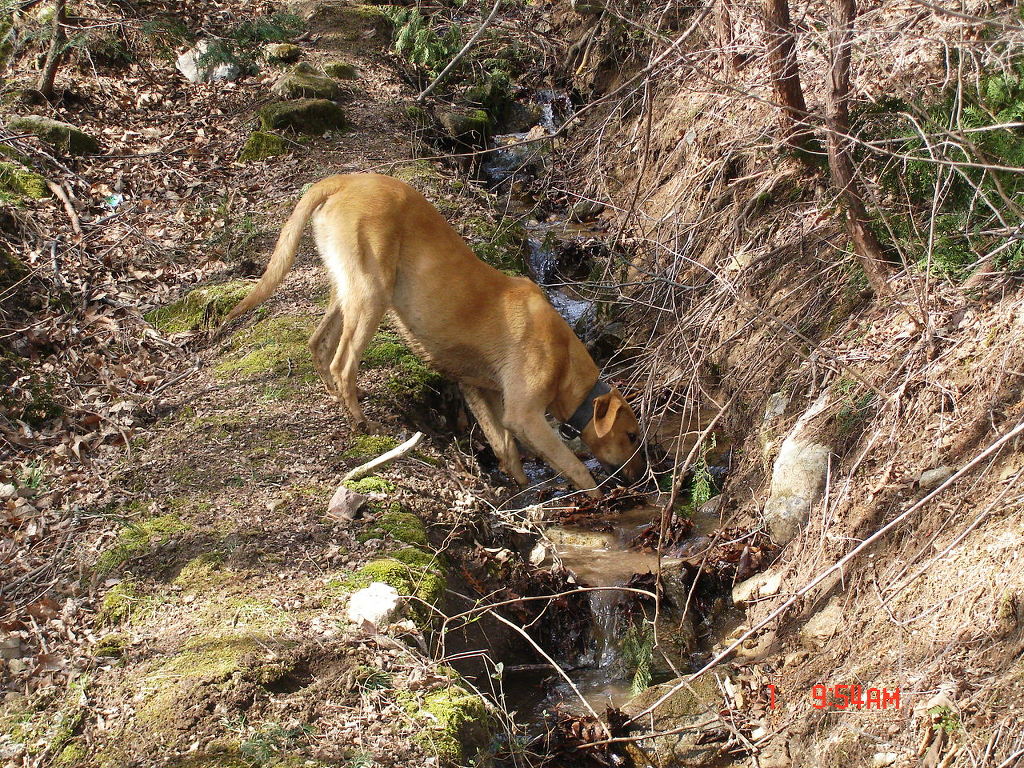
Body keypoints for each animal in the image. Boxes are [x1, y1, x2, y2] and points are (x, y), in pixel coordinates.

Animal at [221, 173, 643, 499]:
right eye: (632, 436)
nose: (642, 479)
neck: (565, 360)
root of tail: (345, 179)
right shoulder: (525, 415)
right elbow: (573, 465)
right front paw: (597, 497)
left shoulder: (481, 391)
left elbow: (504, 447)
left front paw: (519, 488)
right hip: (372, 295)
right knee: (343, 362)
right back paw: (363, 423)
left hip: (347, 291)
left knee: (319, 344)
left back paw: (339, 398)